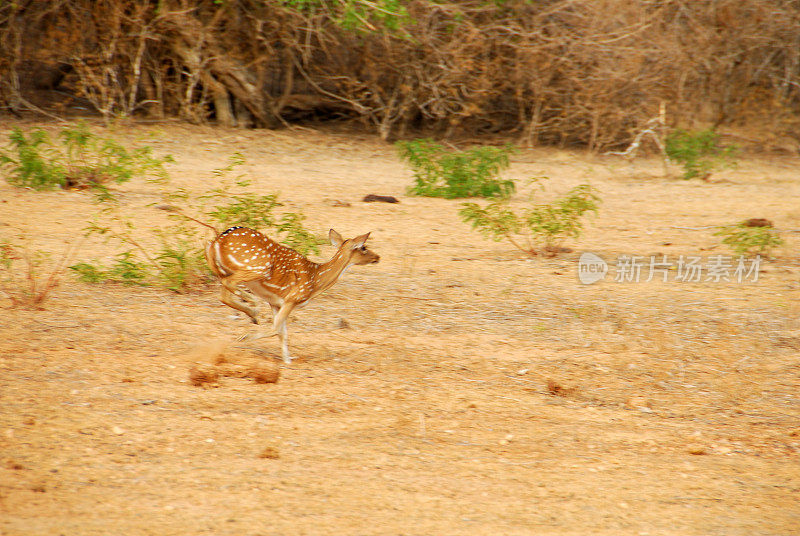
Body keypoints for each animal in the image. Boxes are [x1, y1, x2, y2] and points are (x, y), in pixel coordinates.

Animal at [206, 226, 382, 364]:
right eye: (364, 247)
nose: (377, 257)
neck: (315, 280)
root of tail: (216, 242)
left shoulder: (275, 302)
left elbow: (282, 333)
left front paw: (287, 360)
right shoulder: (292, 298)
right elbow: (276, 329)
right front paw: (244, 337)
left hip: (224, 270)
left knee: (224, 293)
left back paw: (252, 313)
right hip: (257, 267)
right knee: (229, 285)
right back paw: (253, 309)